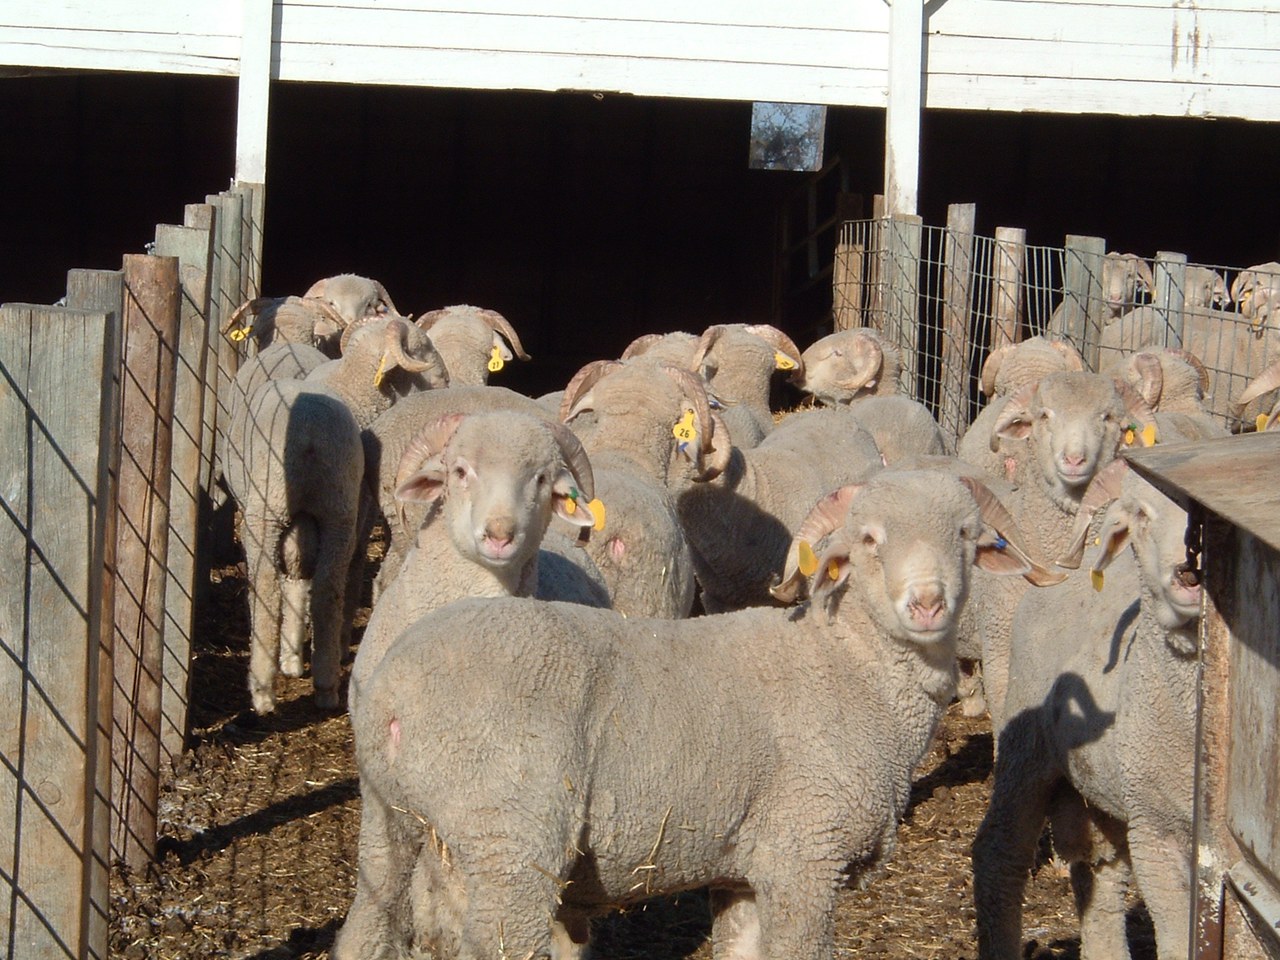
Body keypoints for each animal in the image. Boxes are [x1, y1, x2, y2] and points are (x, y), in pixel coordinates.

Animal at [332, 469, 1036, 960]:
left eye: (967, 537)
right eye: (869, 540)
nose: (928, 603)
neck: (846, 665)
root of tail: (391, 697)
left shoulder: (748, 869)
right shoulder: (804, 856)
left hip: (391, 824)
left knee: (368, 927)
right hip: (507, 843)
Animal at [973, 462, 1201, 960]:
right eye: (1140, 514)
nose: (1186, 573)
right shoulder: (1156, 829)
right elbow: (1179, 941)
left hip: (1101, 788)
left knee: (1100, 874)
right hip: (1025, 748)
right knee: (999, 854)